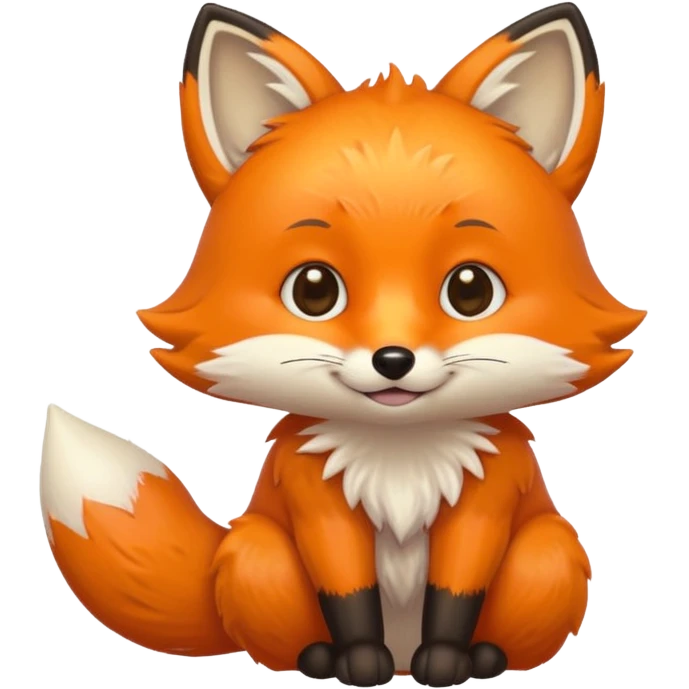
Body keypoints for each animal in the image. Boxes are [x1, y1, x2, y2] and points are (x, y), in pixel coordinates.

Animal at [39, 2, 644, 687]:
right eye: (314, 289)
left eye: (470, 290)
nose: (393, 360)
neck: (399, 459)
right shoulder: (317, 502)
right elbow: (348, 594)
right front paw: (358, 661)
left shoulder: (486, 498)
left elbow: (455, 594)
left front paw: (447, 660)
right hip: (256, 553)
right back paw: (321, 658)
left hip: (550, 551)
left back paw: (484, 658)